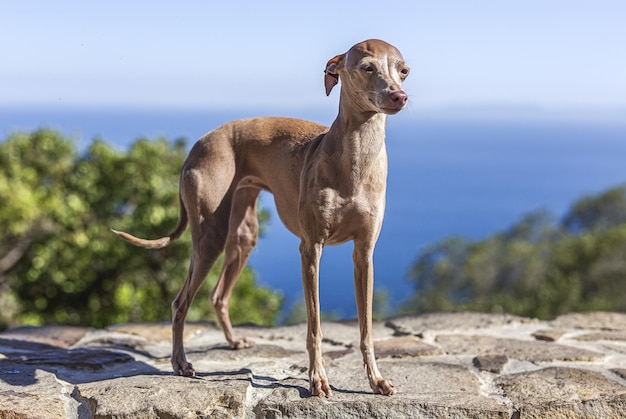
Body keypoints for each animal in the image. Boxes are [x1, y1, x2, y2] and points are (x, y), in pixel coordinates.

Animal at [113, 39, 410, 398]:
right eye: (367, 67)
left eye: (403, 70)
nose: (399, 96)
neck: (355, 159)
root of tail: (200, 142)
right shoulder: (310, 249)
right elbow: (314, 327)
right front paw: (316, 380)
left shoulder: (364, 254)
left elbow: (366, 330)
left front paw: (376, 380)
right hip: (210, 238)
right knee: (180, 302)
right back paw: (181, 363)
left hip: (243, 236)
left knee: (218, 296)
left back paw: (231, 341)